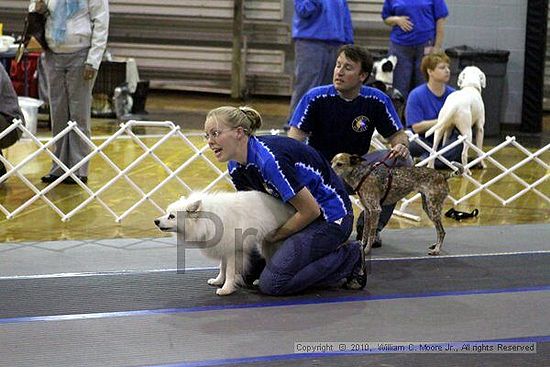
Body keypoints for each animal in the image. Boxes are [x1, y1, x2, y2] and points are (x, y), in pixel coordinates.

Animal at [153, 191, 296, 298]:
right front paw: (218, 281)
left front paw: (226, 289)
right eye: (167, 213)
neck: (207, 222)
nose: (156, 221)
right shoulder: (224, 247)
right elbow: (222, 267)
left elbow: (230, 272)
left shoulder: (233, 251)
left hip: (269, 244)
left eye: (172, 216)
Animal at [332, 154, 466, 258]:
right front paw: (361, 247)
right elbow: (365, 233)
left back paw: (436, 250)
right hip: (428, 207)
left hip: (433, 208)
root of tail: (442, 175)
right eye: (332, 162)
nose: (329, 171)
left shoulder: (375, 210)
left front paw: (366, 250)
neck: (362, 176)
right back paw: (435, 245)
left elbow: (371, 234)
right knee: (439, 231)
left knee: (442, 232)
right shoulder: (367, 211)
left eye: (339, 164)